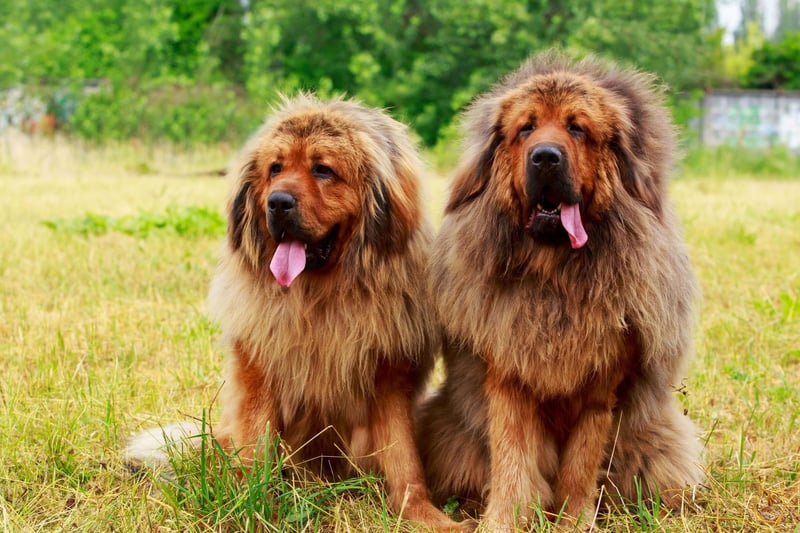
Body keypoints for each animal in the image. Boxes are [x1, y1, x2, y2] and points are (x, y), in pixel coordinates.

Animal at [127, 95, 466, 532]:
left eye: (323, 169)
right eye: (275, 169)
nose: (277, 202)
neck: (321, 298)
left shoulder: (390, 376)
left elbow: (403, 458)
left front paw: (424, 515)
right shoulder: (259, 370)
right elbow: (256, 453)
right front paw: (253, 509)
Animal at [416, 53, 704, 528]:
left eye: (577, 128)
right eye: (526, 128)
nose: (545, 158)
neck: (556, 281)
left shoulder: (601, 389)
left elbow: (581, 466)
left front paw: (574, 522)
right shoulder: (507, 377)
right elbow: (512, 459)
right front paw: (503, 520)